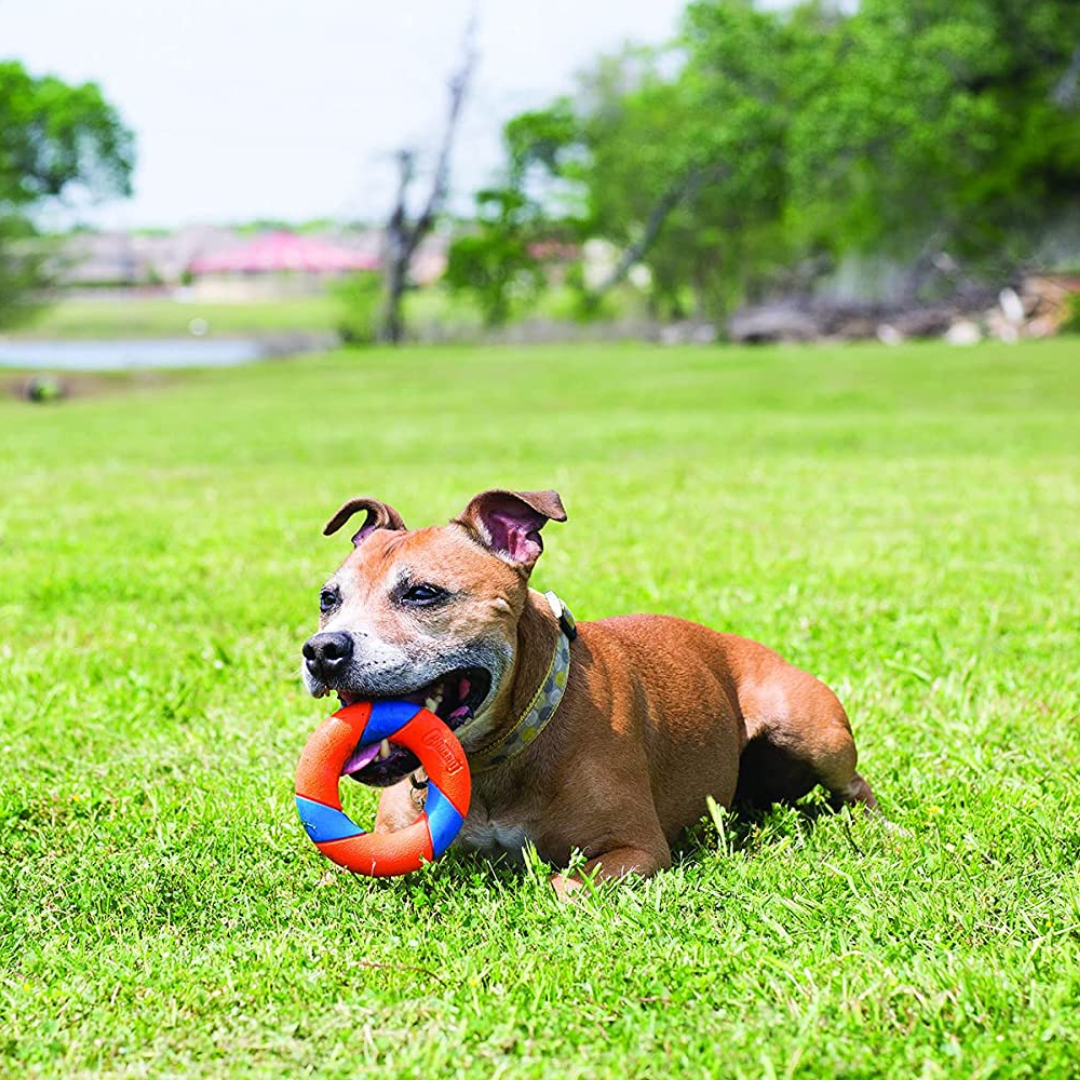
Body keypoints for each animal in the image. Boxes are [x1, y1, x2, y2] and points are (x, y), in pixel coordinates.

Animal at [302, 490, 876, 894]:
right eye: (328, 598)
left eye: (423, 593)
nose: (323, 650)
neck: (497, 757)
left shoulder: (635, 850)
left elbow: (563, 886)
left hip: (808, 730)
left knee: (855, 786)